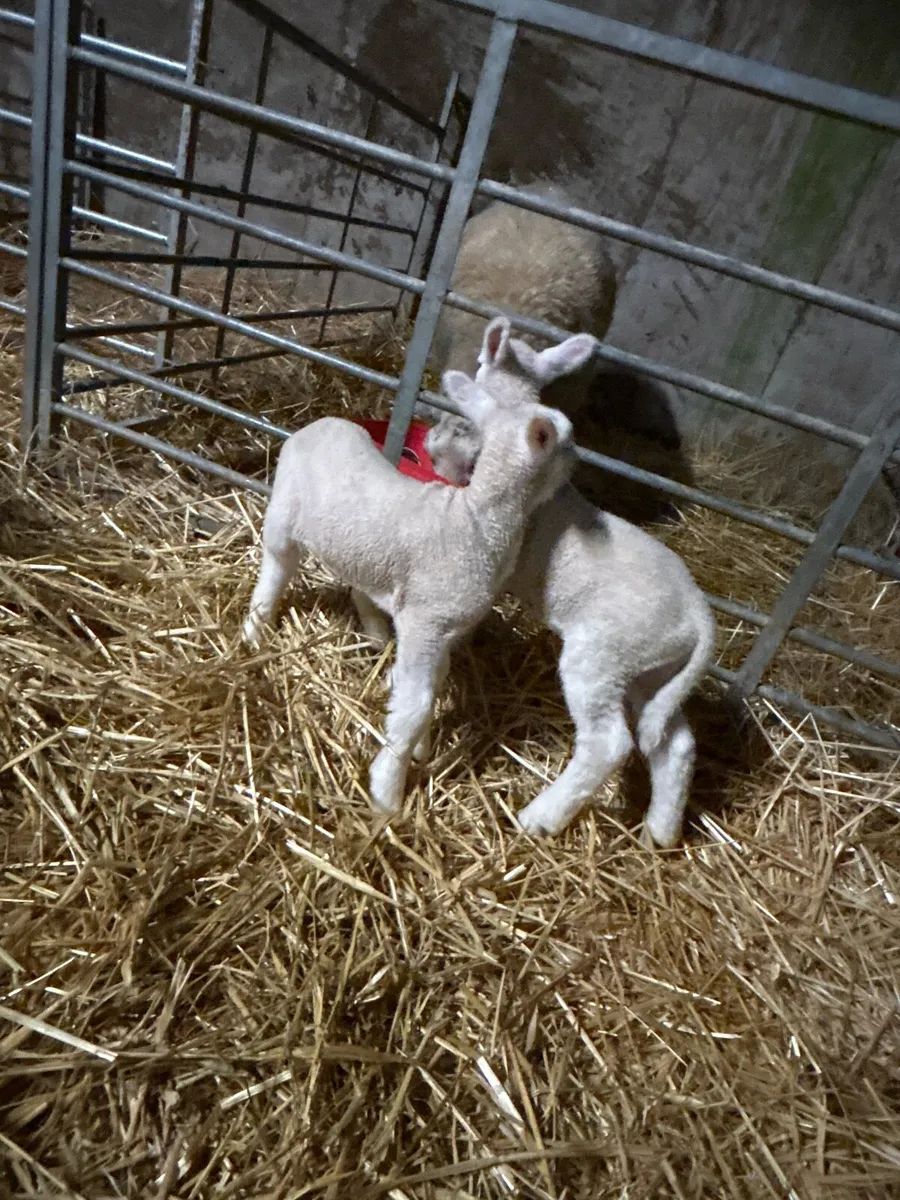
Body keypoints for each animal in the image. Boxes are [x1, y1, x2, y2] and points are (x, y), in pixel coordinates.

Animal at [242, 369, 576, 817]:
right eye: (564, 439)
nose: (577, 461)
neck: (476, 519)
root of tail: (321, 422)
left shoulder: (445, 629)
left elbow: (431, 686)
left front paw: (421, 748)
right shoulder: (426, 622)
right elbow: (415, 705)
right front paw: (388, 791)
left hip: (360, 551)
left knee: (358, 586)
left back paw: (374, 632)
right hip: (282, 516)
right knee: (275, 571)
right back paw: (254, 630)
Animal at [435, 318, 717, 848]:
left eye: (480, 361)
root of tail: (701, 616)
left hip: (601, 657)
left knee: (609, 742)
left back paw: (540, 817)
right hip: (653, 668)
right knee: (674, 743)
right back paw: (660, 831)